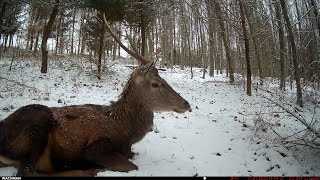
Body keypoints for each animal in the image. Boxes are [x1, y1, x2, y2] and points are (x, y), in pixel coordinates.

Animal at [0, 14, 190, 177]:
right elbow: (131, 165)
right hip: (38, 120)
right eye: (155, 83)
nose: (186, 104)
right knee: (27, 171)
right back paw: (90, 170)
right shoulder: (96, 146)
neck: (126, 131)